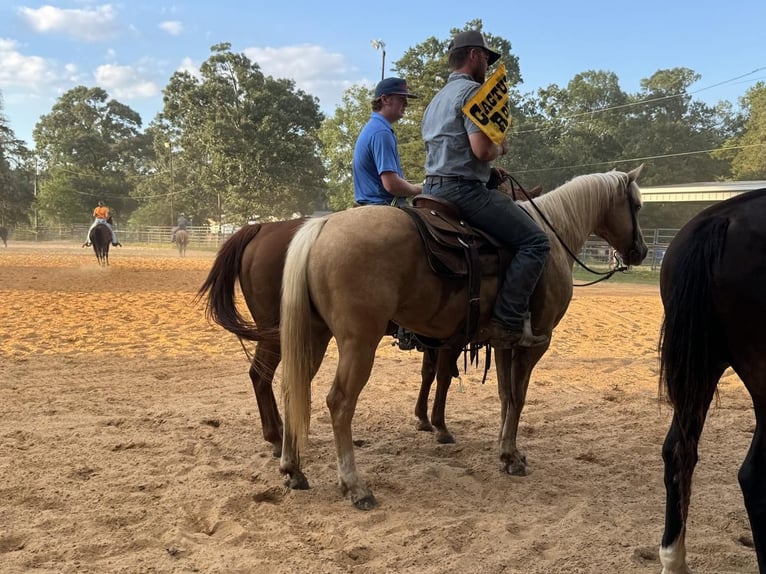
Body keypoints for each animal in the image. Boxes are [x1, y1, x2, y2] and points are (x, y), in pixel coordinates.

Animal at [280, 169, 648, 510]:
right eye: (637, 205)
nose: (641, 251)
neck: (553, 236)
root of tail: (323, 226)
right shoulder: (535, 344)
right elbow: (518, 397)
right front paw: (511, 456)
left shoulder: (503, 343)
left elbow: (505, 396)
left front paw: (506, 451)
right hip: (359, 343)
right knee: (339, 402)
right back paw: (355, 486)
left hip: (315, 337)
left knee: (291, 390)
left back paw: (293, 470)